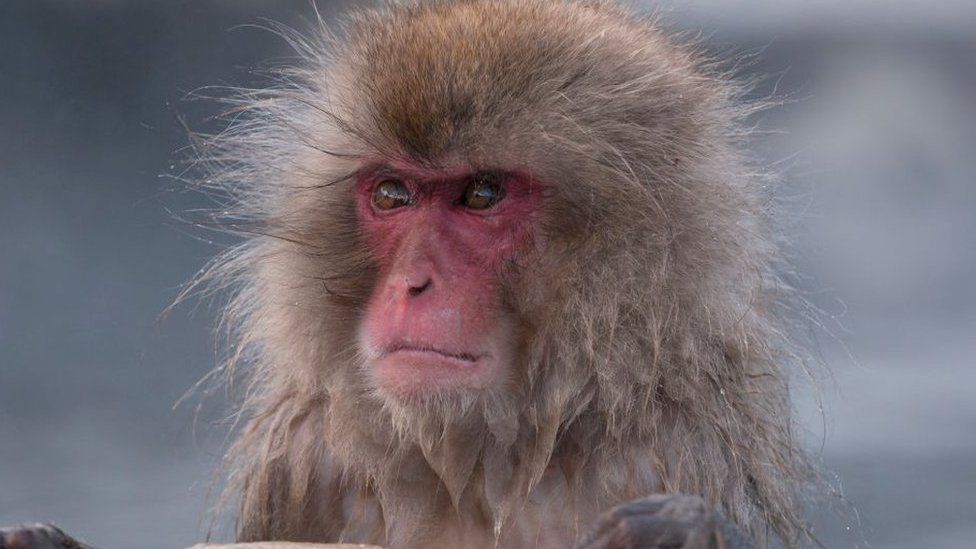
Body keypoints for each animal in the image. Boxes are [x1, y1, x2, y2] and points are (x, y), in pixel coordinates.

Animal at [2, 1, 819, 548]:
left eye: (481, 194)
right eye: (393, 194)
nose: (411, 286)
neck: (481, 461)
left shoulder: (664, 449)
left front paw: (684, 528)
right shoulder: (311, 456)